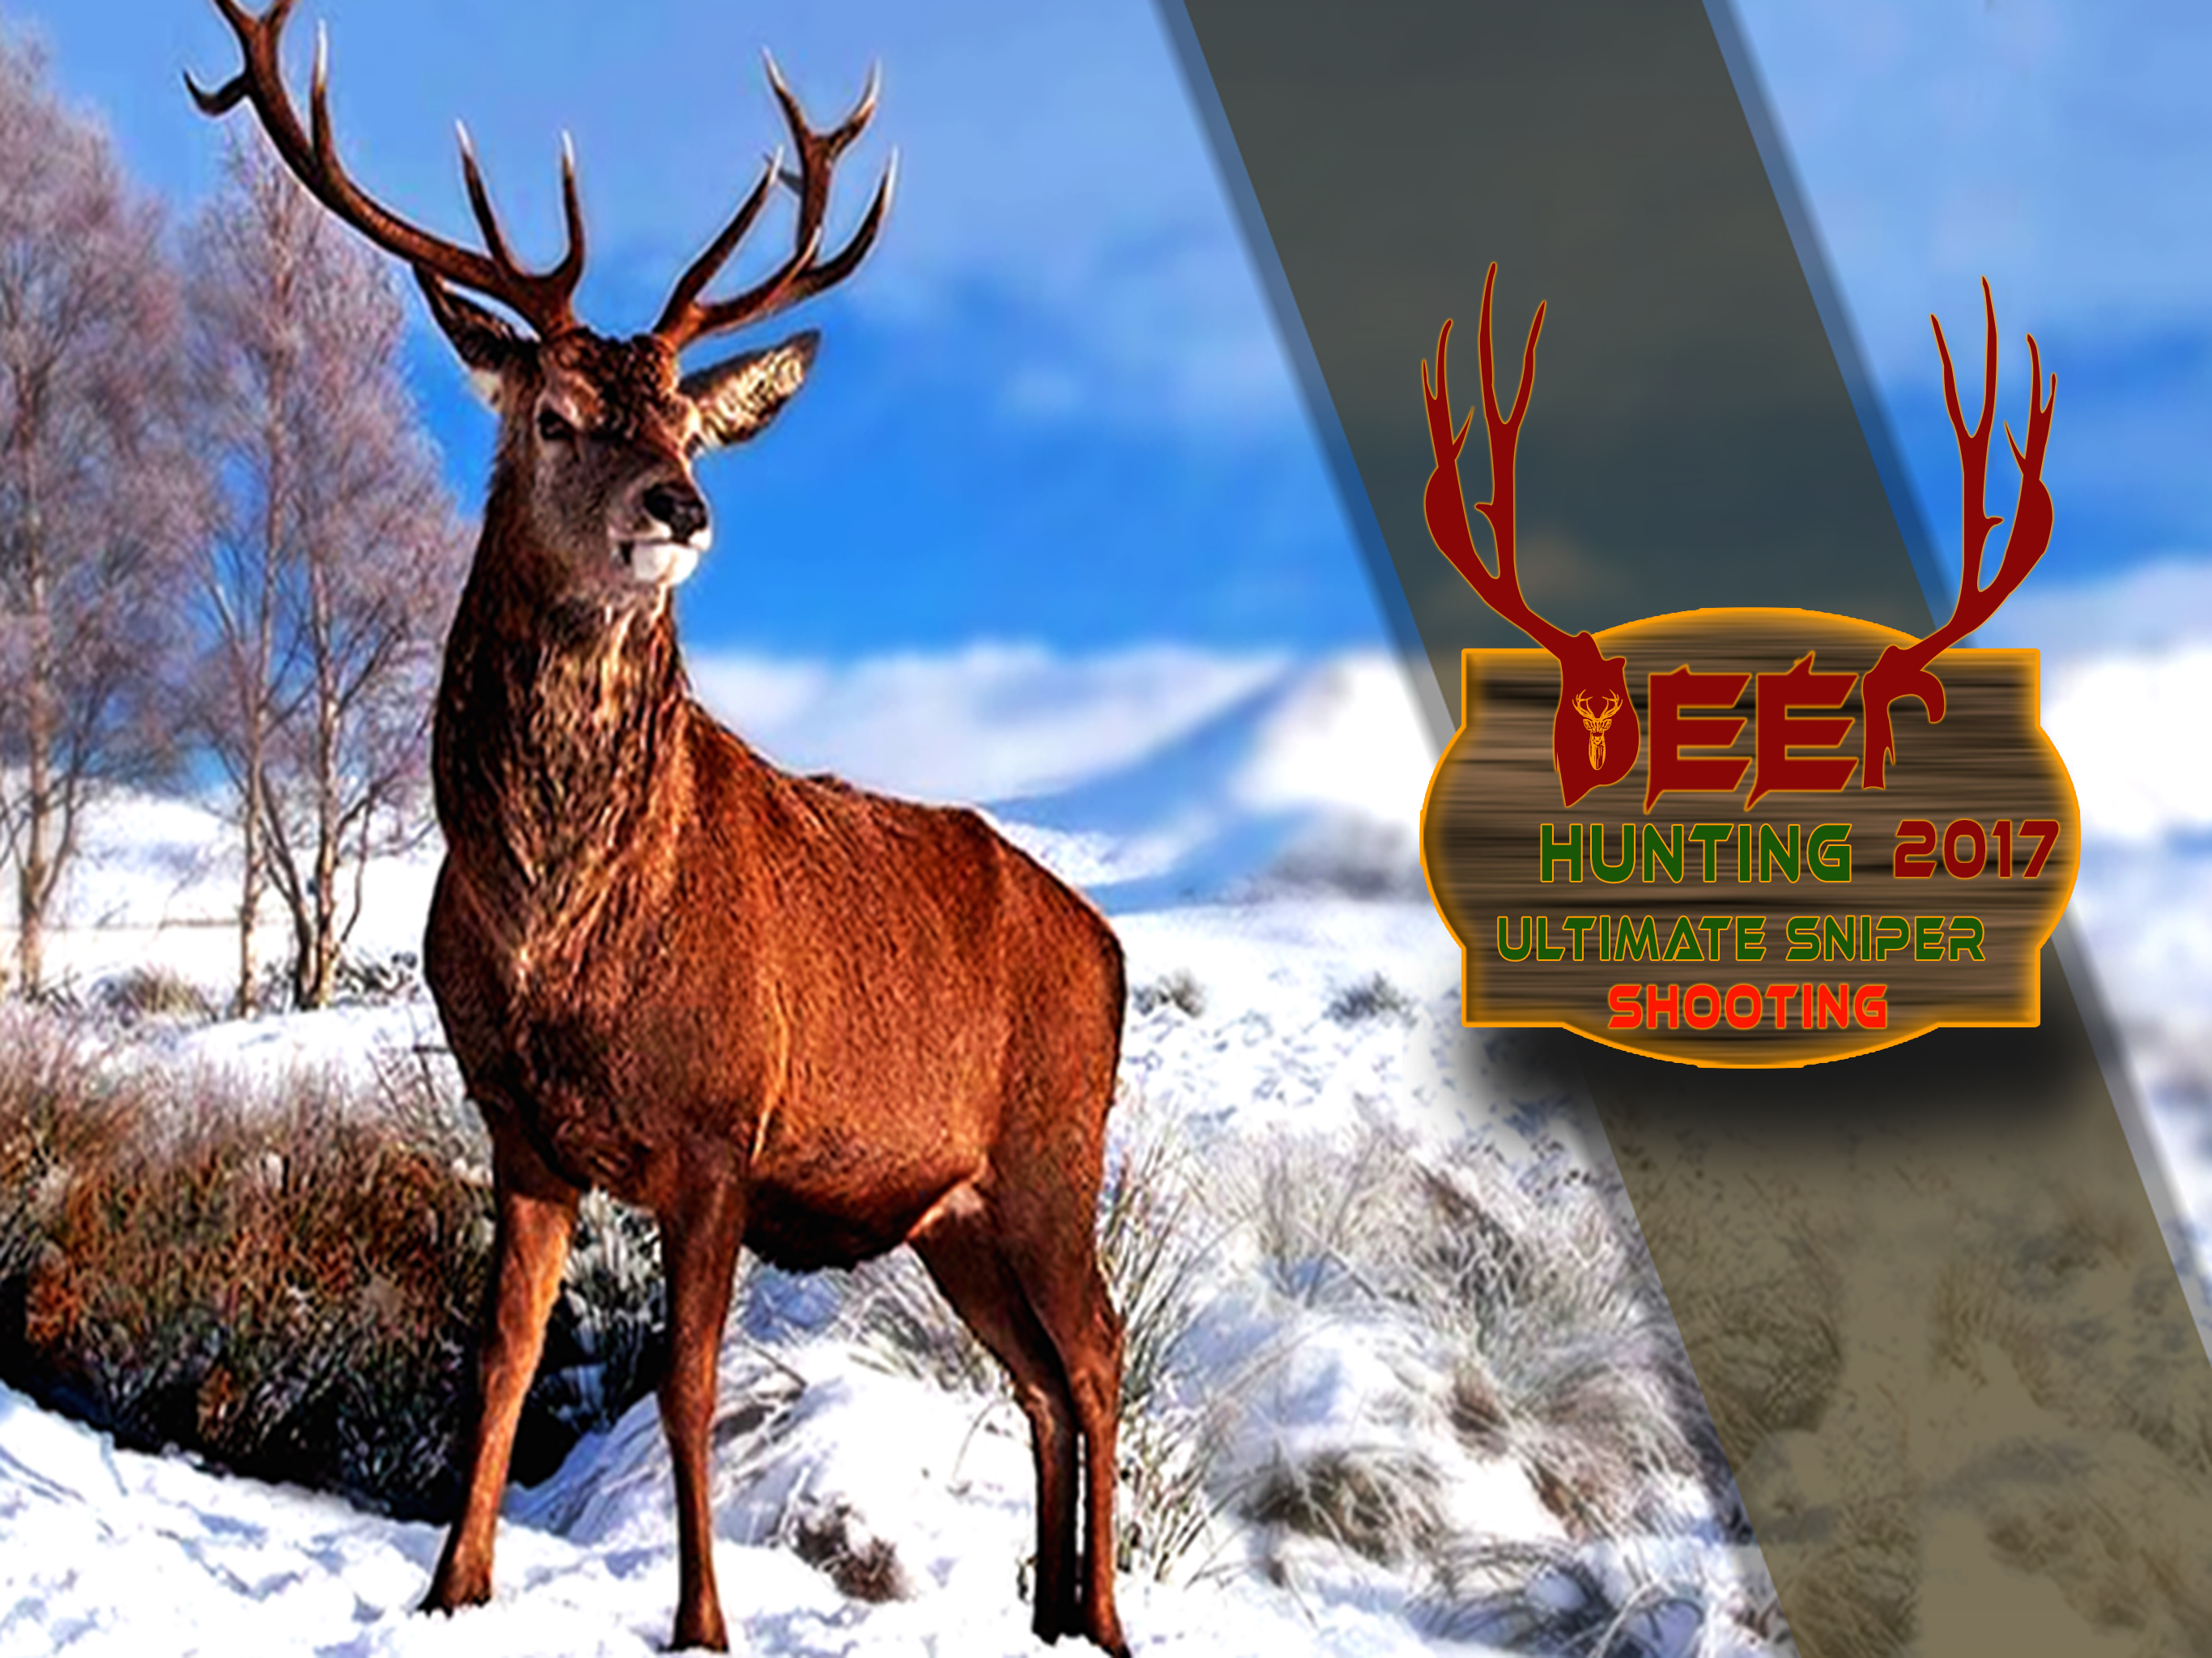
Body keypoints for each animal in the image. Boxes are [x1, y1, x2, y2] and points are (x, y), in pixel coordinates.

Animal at [188, 5, 1131, 1653]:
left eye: (690, 418)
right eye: (556, 416)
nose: (680, 506)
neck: (559, 933)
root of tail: (1112, 948)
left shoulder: (718, 1129)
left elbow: (685, 1386)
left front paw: (701, 1621)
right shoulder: (518, 1128)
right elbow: (500, 1362)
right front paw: (453, 1586)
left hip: (1051, 1153)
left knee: (1102, 1355)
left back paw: (1114, 1621)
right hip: (953, 1212)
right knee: (1035, 1380)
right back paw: (1050, 1619)